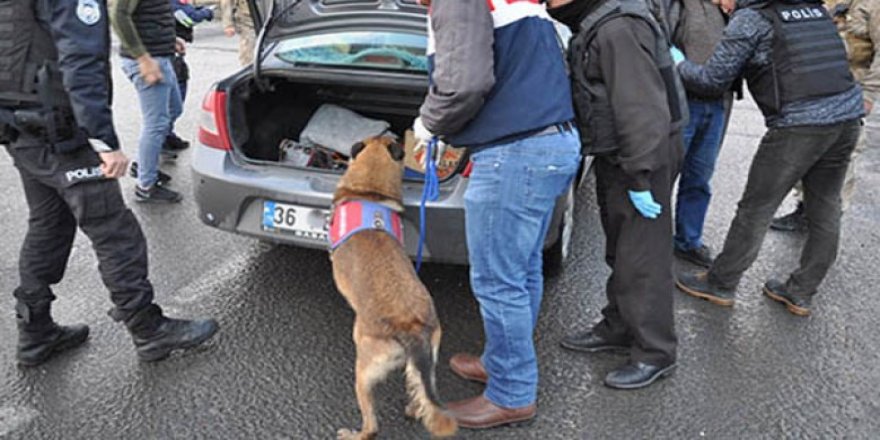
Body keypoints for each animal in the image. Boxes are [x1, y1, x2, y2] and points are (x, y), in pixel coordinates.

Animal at [328, 136, 458, 438]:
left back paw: (355, 433)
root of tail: (410, 327)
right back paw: (414, 409)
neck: (369, 191)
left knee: (372, 426)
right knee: (421, 393)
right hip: (427, 361)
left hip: (363, 373)